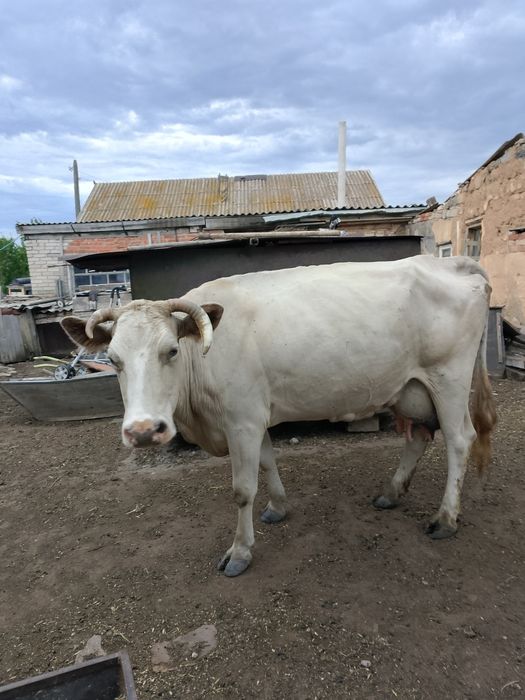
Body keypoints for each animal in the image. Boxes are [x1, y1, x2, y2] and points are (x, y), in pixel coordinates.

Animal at [62, 255, 497, 577]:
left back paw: (445, 519)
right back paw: (391, 492)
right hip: (411, 388)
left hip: (449, 378)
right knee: (419, 436)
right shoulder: (255, 414)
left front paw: (240, 551)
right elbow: (269, 463)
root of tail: (451, 262)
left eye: (170, 350)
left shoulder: (242, 420)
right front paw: (278, 507)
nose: (143, 431)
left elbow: (242, 489)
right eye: (113, 359)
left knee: (460, 440)